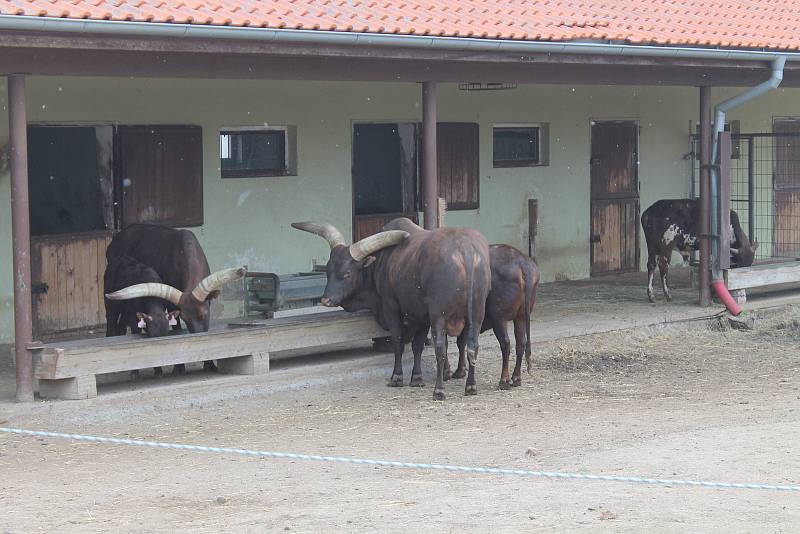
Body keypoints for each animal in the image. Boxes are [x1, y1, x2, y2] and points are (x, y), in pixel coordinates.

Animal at [294, 220, 494, 400]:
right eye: (328, 270)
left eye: (347, 273)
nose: (326, 300)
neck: (382, 261)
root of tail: (466, 250)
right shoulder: (422, 315)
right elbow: (417, 346)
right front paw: (417, 378)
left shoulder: (392, 309)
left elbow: (398, 342)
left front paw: (397, 377)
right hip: (476, 314)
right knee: (472, 347)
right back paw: (470, 386)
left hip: (439, 315)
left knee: (440, 349)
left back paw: (439, 390)